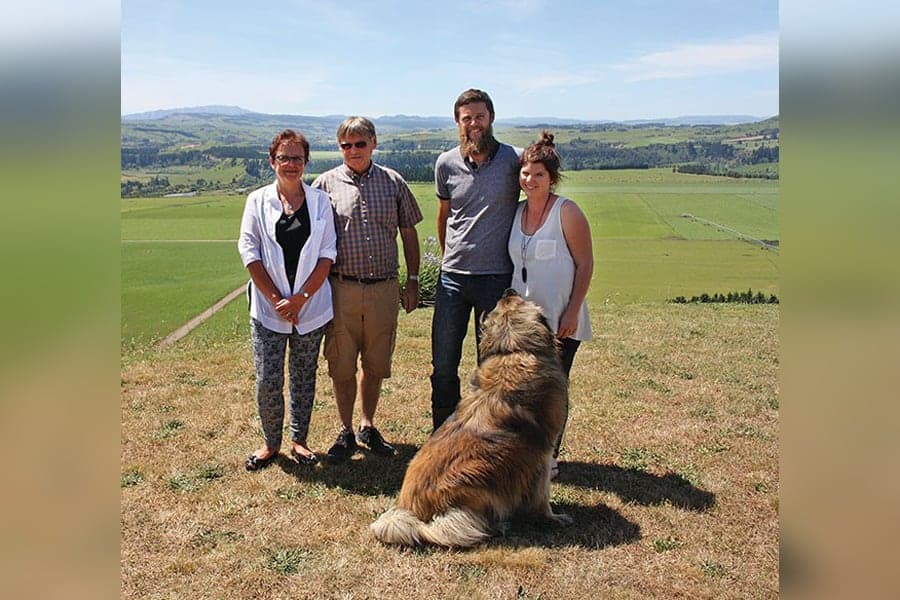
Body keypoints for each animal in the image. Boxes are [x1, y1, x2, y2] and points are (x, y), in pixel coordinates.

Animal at [371, 289, 572, 547]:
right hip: (480, 477)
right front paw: (553, 517)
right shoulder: (542, 456)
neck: (512, 350)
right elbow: (542, 495)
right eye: (513, 300)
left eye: (504, 301)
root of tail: (414, 514)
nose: (508, 290)